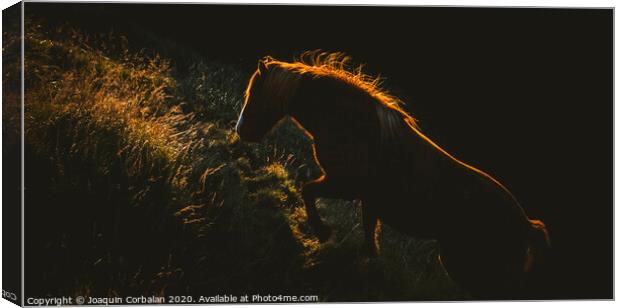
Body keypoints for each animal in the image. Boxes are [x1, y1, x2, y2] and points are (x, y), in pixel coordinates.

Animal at [235, 51, 548, 300]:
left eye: (254, 94)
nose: (240, 131)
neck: (352, 126)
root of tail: (527, 225)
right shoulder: (366, 199)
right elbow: (369, 240)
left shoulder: (343, 186)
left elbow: (307, 191)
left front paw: (322, 232)